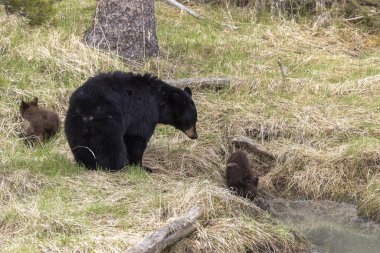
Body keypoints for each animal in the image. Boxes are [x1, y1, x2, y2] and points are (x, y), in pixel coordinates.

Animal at [63, 72, 197, 173]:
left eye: (196, 120)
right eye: (190, 120)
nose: (195, 136)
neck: (159, 101)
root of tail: (86, 108)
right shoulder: (143, 113)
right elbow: (137, 138)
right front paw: (142, 167)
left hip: (73, 123)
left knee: (80, 146)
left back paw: (87, 164)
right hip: (108, 121)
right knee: (111, 146)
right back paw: (117, 167)